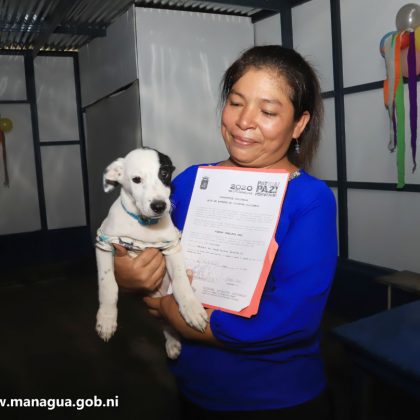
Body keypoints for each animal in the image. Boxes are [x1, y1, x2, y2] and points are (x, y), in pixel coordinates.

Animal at [95, 147, 208, 359]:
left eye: (164, 173)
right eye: (136, 179)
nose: (159, 206)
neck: (143, 223)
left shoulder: (172, 246)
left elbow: (181, 281)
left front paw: (191, 308)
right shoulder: (104, 242)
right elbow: (108, 285)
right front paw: (106, 318)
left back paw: (172, 341)